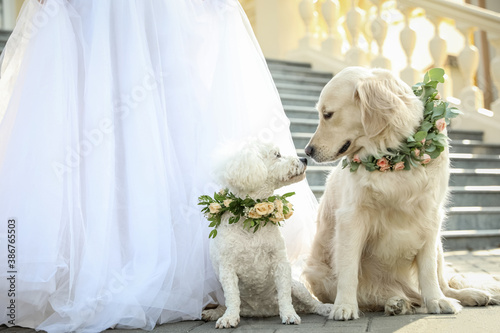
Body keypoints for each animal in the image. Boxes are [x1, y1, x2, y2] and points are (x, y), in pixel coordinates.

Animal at [201, 139, 334, 326]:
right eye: (277, 155)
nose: (304, 159)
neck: (251, 219)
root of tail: (262, 311)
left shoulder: (280, 262)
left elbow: (284, 295)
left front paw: (289, 314)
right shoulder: (227, 268)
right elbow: (232, 297)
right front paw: (229, 318)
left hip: (297, 287)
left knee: (312, 304)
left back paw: (325, 308)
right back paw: (214, 313)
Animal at [300, 67, 500, 320]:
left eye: (327, 114)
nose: (307, 151)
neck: (393, 155)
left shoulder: (430, 216)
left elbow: (428, 271)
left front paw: (436, 301)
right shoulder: (351, 217)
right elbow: (348, 271)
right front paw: (344, 306)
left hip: (439, 245)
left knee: (442, 284)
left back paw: (469, 295)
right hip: (317, 271)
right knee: (377, 295)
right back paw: (396, 302)